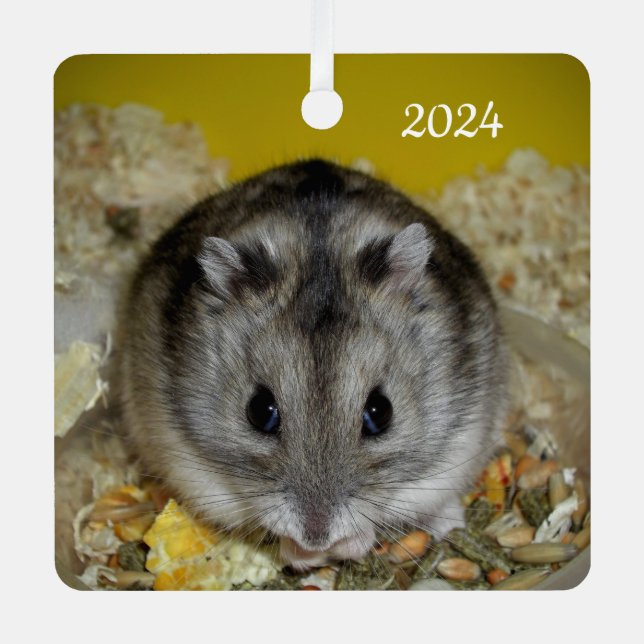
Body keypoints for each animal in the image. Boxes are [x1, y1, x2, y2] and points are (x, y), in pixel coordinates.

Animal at [118, 159, 508, 571]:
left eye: (380, 412)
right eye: (259, 411)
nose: (317, 537)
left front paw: (343, 547)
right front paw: (304, 554)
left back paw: (449, 523)